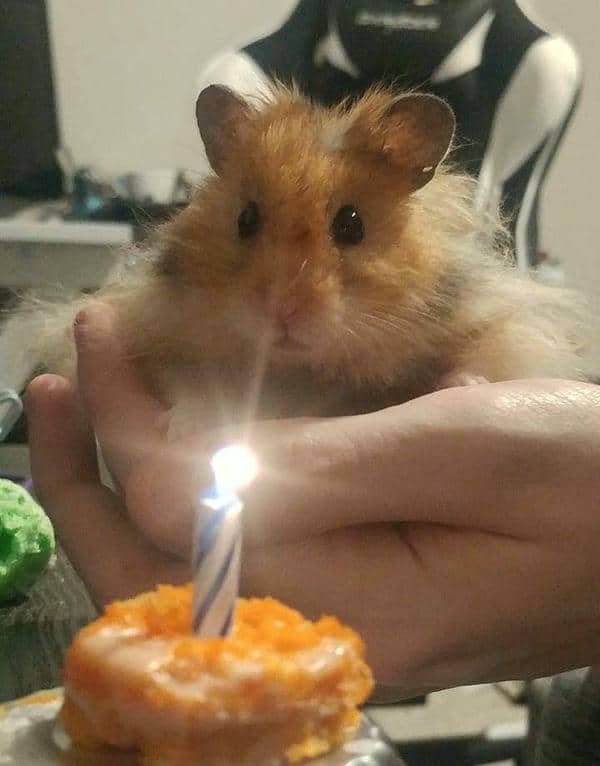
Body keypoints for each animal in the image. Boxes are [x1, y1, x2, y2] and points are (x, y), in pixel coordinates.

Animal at [9, 84, 588, 438]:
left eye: (352, 224)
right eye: (245, 218)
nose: (281, 311)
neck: (304, 367)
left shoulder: (508, 332)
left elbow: (479, 359)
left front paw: (463, 386)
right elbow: (191, 383)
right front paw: (189, 427)